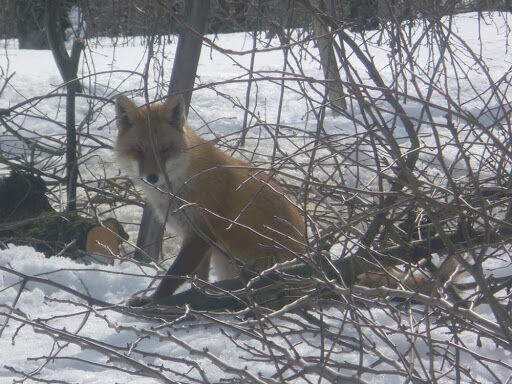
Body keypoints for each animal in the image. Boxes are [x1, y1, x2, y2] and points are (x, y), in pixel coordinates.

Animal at [115, 94, 304, 304]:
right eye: (138, 150)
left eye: (164, 150)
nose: (152, 178)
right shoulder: (198, 238)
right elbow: (201, 277)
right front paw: (200, 294)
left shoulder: (202, 232)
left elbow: (174, 275)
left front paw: (153, 300)